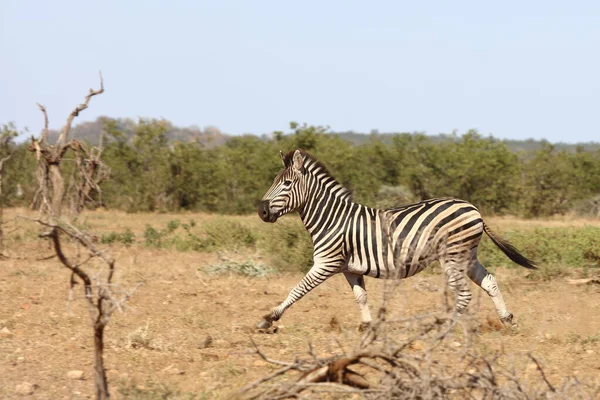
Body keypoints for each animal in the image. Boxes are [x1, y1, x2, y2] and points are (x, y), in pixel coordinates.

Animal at [255, 149, 536, 328]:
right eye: (274, 181)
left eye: (287, 184)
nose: (262, 211)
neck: (331, 219)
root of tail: (473, 208)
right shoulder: (348, 268)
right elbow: (361, 297)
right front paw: (368, 326)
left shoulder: (326, 263)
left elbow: (297, 289)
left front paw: (269, 318)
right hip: (467, 256)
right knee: (489, 281)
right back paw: (507, 320)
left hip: (452, 256)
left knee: (464, 294)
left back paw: (444, 327)